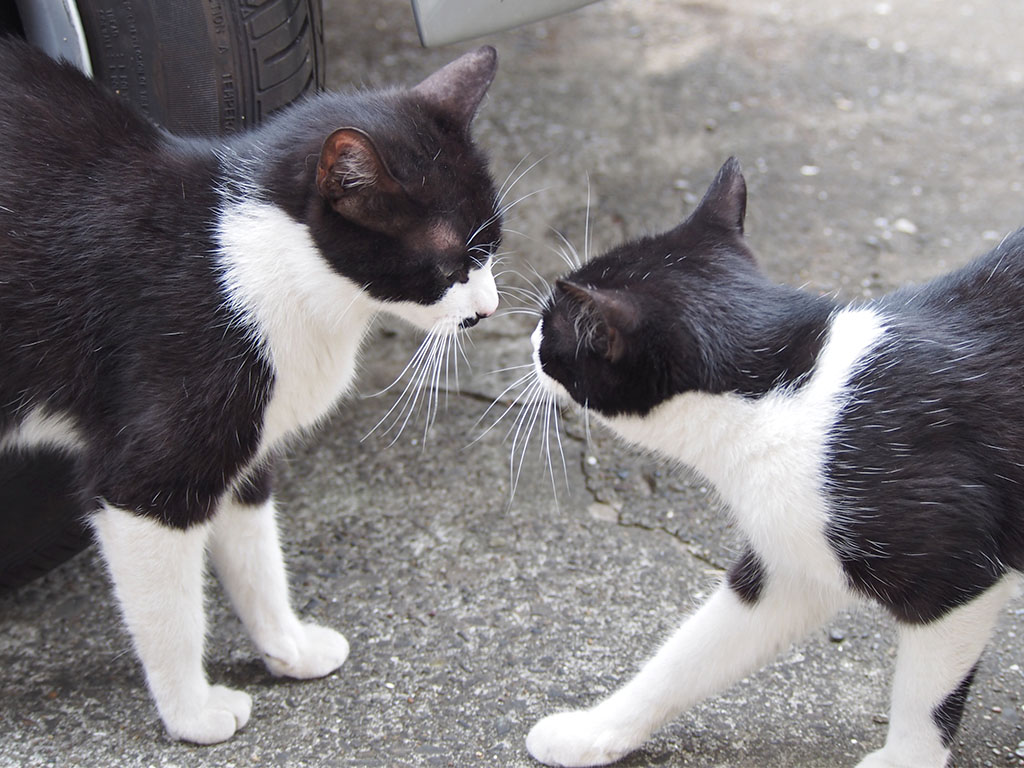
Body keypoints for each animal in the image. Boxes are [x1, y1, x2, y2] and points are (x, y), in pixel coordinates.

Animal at [0, 37, 501, 745]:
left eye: (494, 245)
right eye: (450, 264)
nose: (488, 309)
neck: (260, 265)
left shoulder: (246, 444)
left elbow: (256, 555)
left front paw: (288, 648)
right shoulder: (149, 475)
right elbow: (172, 611)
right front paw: (191, 711)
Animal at [528, 159, 1024, 765]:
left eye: (553, 327)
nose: (528, 335)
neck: (786, 394)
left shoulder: (954, 577)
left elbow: (924, 697)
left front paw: (907, 759)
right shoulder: (790, 562)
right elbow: (687, 657)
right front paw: (593, 732)